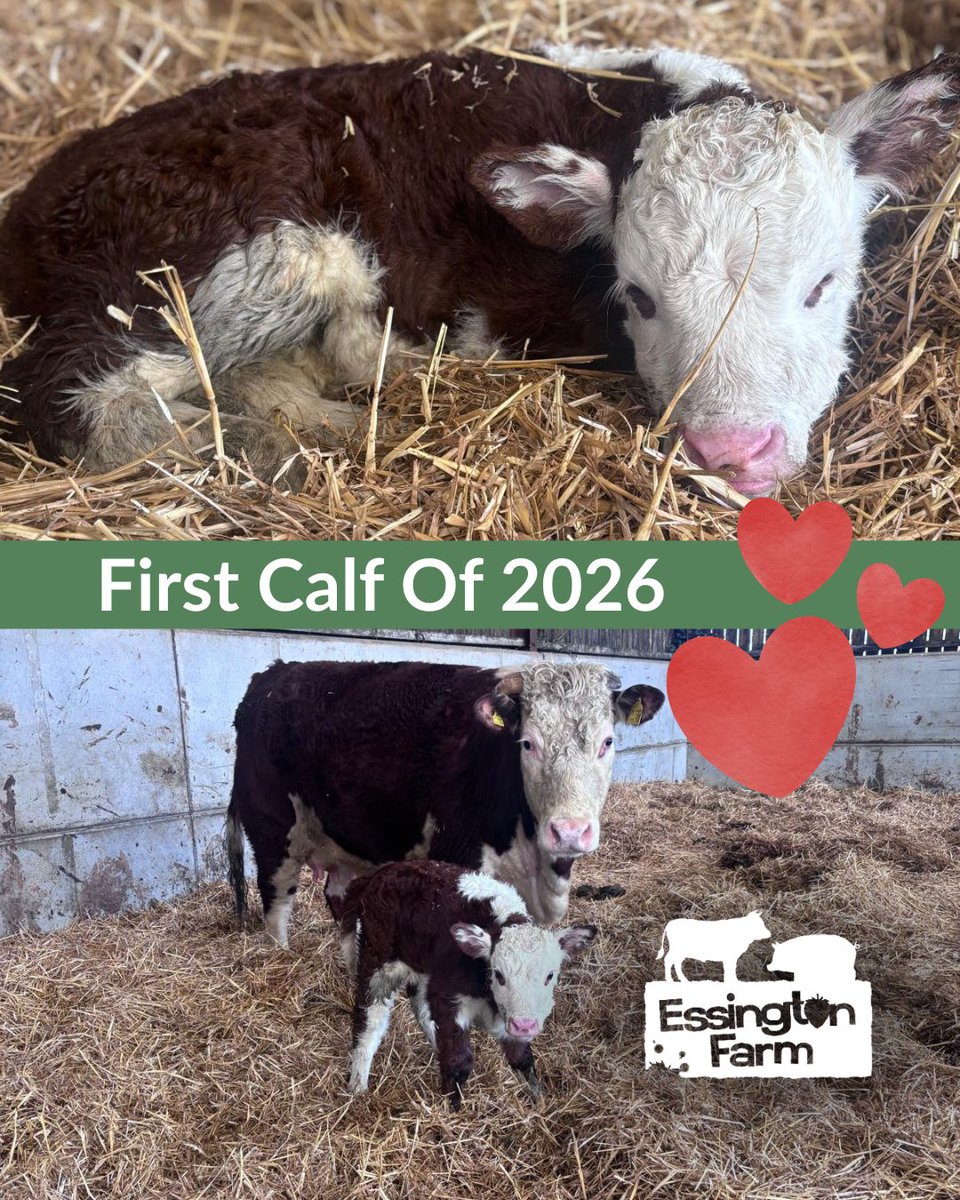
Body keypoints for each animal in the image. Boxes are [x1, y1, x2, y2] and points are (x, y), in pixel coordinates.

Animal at [1, 44, 959, 494]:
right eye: (639, 297)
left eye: (822, 285)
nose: (731, 452)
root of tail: (37, 194)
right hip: (230, 258)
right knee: (72, 391)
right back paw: (261, 450)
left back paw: (322, 429)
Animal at [225, 659, 664, 942]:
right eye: (527, 743)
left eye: (607, 742)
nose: (570, 832)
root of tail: (273, 674)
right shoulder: (457, 856)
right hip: (272, 829)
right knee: (276, 905)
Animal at [339, 859, 596, 1107]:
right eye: (499, 974)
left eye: (550, 975)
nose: (525, 1026)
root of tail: (379, 874)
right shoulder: (449, 999)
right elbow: (459, 1061)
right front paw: (451, 1110)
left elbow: (522, 1058)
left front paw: (539, 1099)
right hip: (377, 967)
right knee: (368, 1024)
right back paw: (357, 1087)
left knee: (421, 1010)